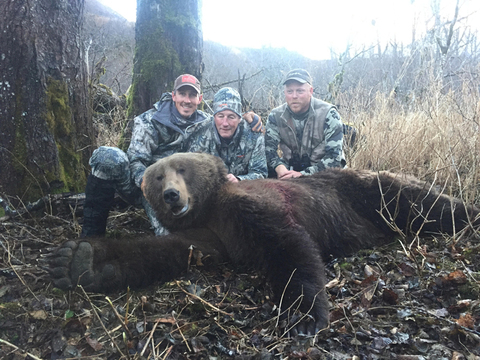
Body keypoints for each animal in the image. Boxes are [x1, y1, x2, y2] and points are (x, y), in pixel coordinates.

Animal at [47, 151, 476, 334]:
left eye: (181, 168)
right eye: (157, 176)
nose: (171, 196)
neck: (211, 208)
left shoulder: (248, 210)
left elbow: (290, 244)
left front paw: (302, 316)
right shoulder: (211, 236)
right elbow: (163, 253)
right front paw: (77, 260)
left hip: (371, 191)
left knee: (427, 204)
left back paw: (469, 213)